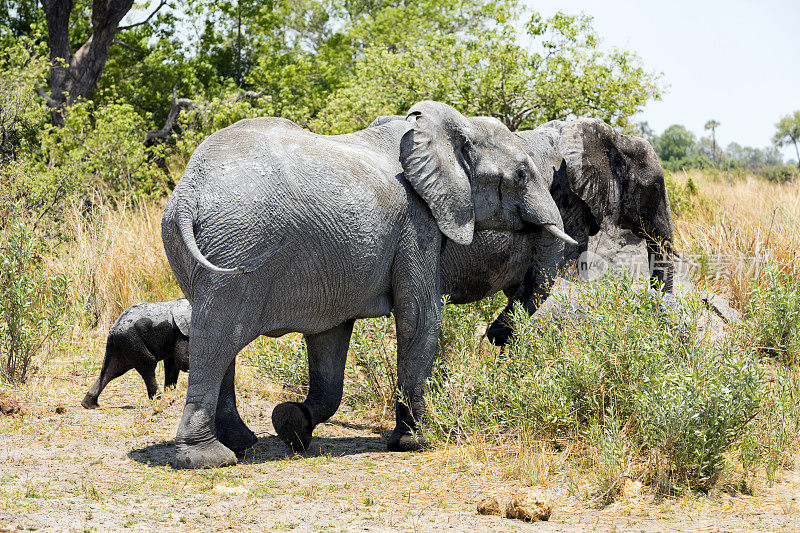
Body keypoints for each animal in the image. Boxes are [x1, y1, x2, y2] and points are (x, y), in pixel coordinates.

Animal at [162, 100, 576, 466]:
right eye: (521, 175)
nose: (496, 332)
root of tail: (188, 193)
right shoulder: (416, 222)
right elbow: (419, 320)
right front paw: (415, 443)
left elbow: (329, 338)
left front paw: (291, 424)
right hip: (239, 245)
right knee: (218, 336)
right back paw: (207, 459)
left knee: (219, 338)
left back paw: (241, 443)